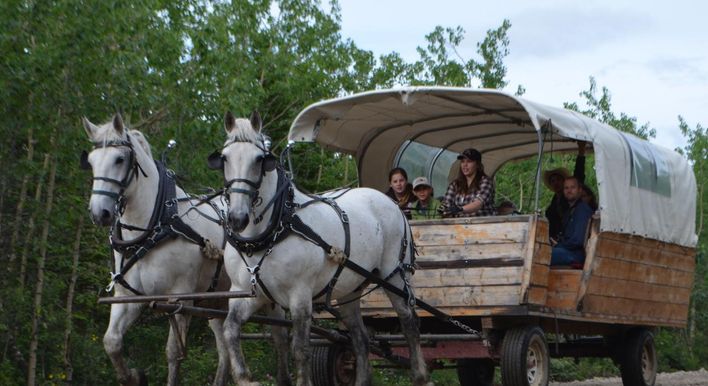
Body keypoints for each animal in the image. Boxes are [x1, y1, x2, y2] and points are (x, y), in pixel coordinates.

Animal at [83, 114, 290, 386]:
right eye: (90, 161)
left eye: (119, 159)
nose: (100, 213)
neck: (154, 228)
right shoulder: (127, 298)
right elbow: (112, 342)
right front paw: (135, 376)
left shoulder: (180, 297)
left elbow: (173, 353)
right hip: (218, 304)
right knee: (225, 350)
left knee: (280, 339)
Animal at [210, 111, 432, 386]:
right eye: (224, 158)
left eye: (259, 159)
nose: (237, 218)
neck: (269, 233)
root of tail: (390, 202)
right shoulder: (248, 293)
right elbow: (230, 330)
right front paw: (246, 379)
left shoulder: (300, 295)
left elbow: (300, 349)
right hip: (349, 289)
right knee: (360, 337)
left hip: (395, 277)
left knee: (409, 322)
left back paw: (421, 376)